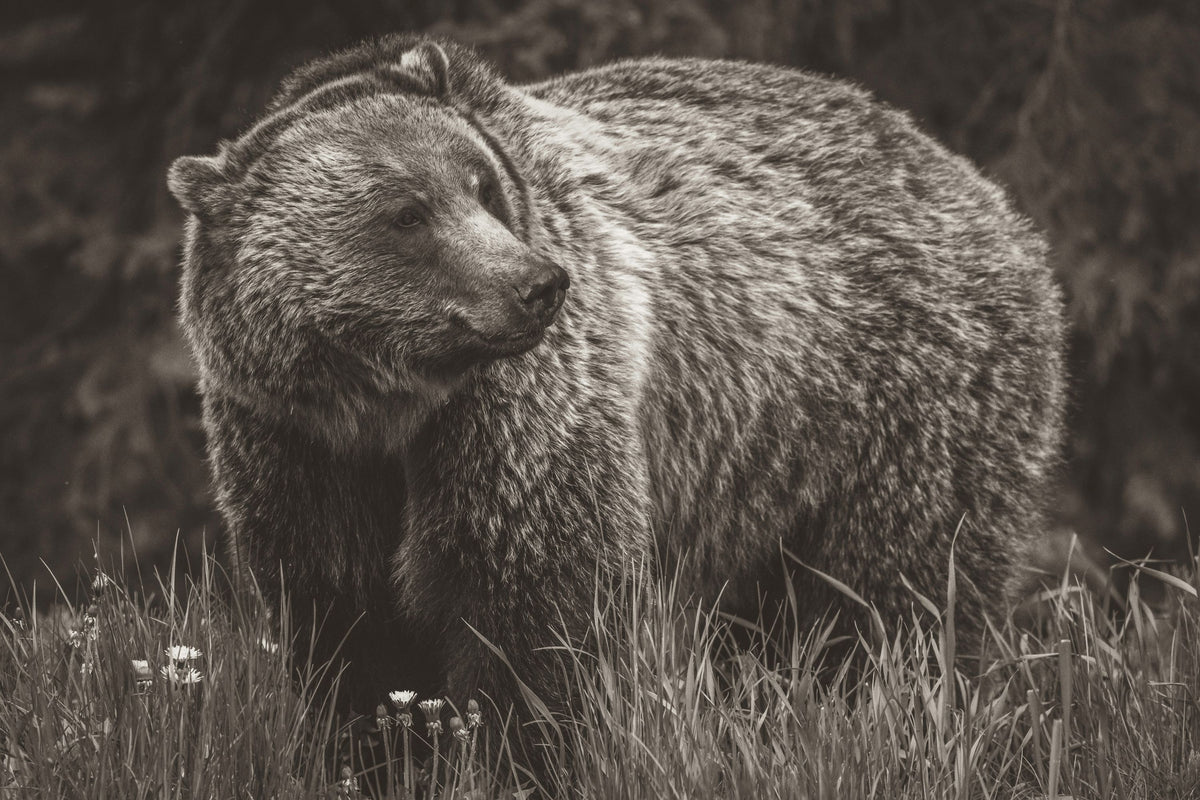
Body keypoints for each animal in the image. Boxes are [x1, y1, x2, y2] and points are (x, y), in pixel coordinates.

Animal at [166, 33, 1065, 721]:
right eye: (406, 214)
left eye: (481, 185)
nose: (536, 284)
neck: (389, 405)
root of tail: (973, 182)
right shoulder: (292, 440)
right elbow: (345, 623)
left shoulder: (520, 420)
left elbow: (537, 608)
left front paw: (522, 741)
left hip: (900, 401)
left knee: (898, 595)